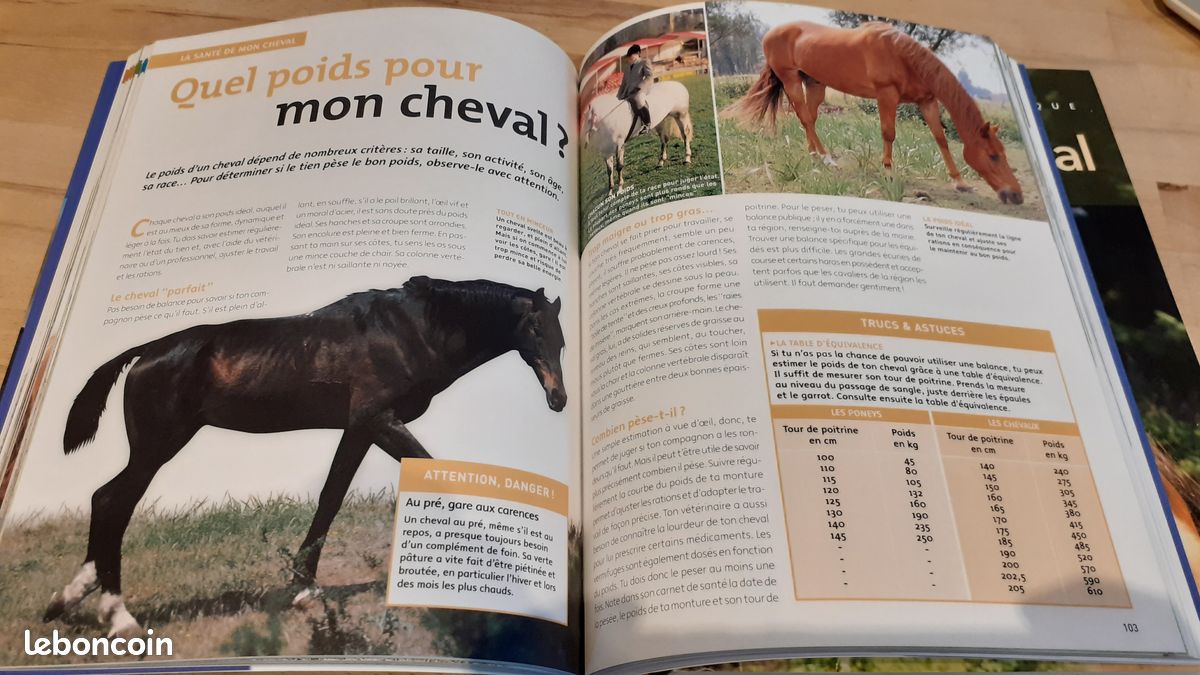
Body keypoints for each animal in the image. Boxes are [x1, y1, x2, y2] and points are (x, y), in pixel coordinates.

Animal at [42, 276, 567, 637]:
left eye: (561, 338)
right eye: (534, 329)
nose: (558, 400)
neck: (411, 330)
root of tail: (146, 350)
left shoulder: (360, 429)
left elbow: (330, 498)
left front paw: (304, 586)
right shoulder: (379, 420)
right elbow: (434, 475)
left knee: (106, 500)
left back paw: (68, 598)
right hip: (157, 446)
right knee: (112, 502)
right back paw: (117, 615)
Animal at [727, 21, 1024, 205]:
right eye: (993, 155)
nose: (1016, 195)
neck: (903, 57)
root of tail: (771, 33)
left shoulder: (927, 102)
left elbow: (941, 139)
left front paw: (960, 183)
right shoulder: (886, 95)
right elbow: (888, 132)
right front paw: (888, 171)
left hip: (814, 83)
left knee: (809, 118)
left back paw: (816, 156)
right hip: (790, 80)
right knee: (805, 117)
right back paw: (826, 159)